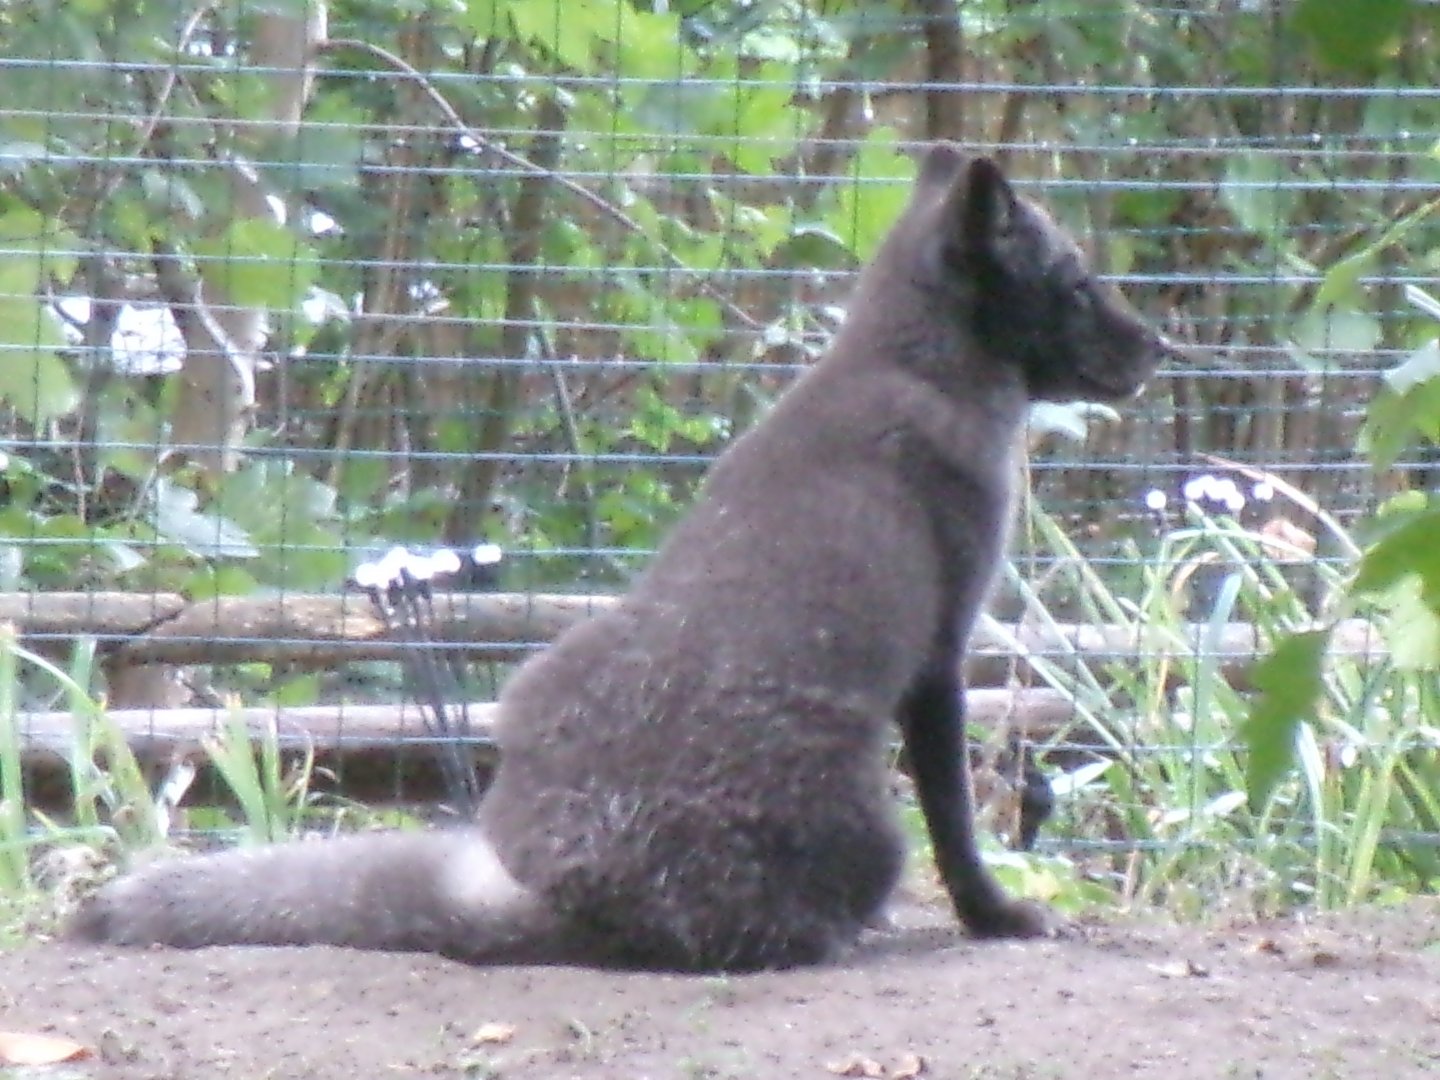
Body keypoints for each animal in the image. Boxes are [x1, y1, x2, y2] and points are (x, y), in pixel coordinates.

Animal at [72, 143, 1172, 971]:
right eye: (1078, 284)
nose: (1160, 347)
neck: (918, 370)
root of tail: (563, 888)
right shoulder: (942, 656)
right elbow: (959, 824)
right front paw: (997, 918)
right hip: (870, 825)